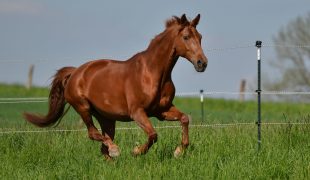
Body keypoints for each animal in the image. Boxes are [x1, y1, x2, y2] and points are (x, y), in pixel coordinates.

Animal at [24, 14, 208, 160]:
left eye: (200, 37)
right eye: (186, 37)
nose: (202, 63)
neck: (152, 73)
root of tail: (75, 72)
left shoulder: (161, 110)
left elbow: (184, 119)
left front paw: (178, 151)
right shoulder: (137, 112)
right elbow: (153, 135)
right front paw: (136, 151)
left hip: (107, 118)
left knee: (103, 147)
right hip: (83, 108)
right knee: (94, 134)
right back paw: (115, 150)